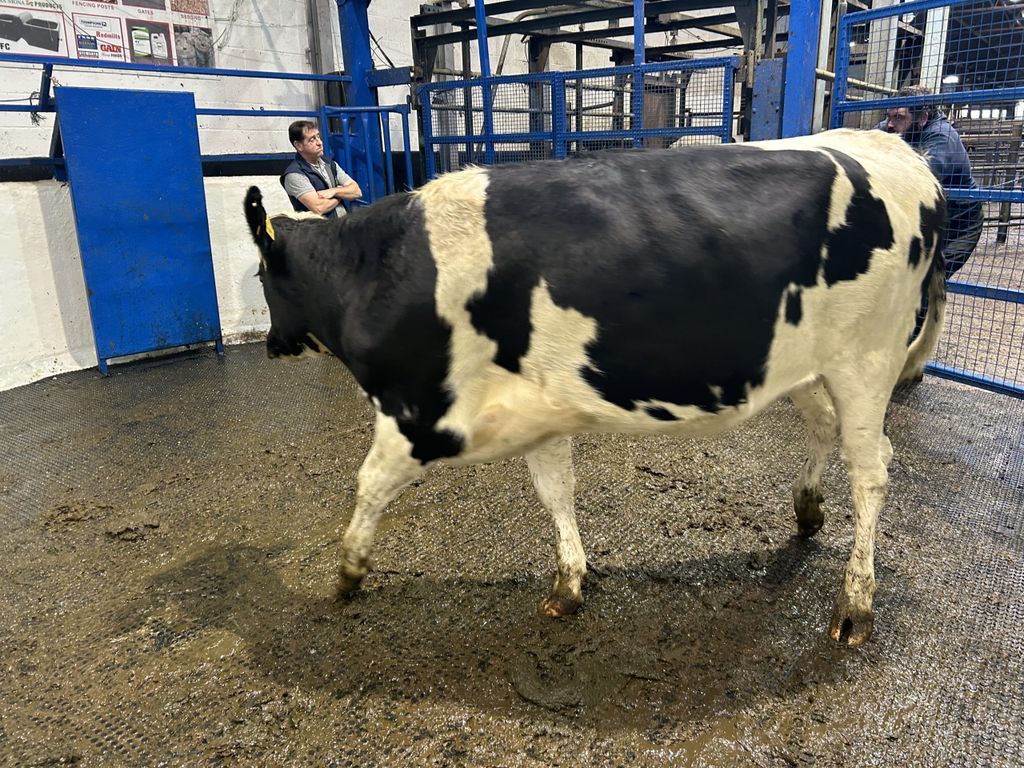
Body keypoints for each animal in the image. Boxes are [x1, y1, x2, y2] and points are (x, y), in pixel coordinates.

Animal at [244, 128, 946, 645]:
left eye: (259, 276)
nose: (273, 344)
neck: (378, 272)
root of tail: (892, 146)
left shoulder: (417, 413)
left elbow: (368, 485)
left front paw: (347, 573)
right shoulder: (537, 411)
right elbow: (555, 491)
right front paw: (569, 584)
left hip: (867, 360)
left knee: (873, 469)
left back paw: (855, 606)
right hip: (803, 362)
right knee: (826, 428)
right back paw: (806, 511)